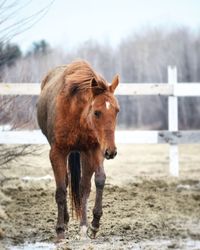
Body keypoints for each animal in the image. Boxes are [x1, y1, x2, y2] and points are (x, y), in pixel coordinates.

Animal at [36, 60, 119, 240]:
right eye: (97, 112)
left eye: (117, 110)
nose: (111, 151)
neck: (77, 114)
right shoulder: (57, 152)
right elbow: (61, 189)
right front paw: (60, 229)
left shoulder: (94, 149)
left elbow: (97, 181)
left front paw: (92, 225)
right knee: (66, 183)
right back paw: (66, 222)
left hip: (84, 153)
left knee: (83, 186)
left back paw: (83, 225)